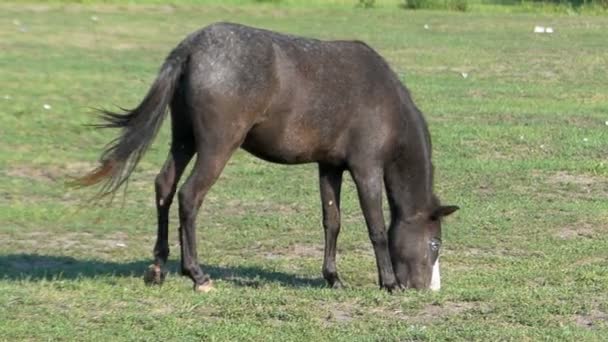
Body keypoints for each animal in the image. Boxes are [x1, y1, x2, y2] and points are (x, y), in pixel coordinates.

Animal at [73, 22, 458, 292]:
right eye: (435, 242)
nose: (426, 288)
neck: (386, 103)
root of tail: (192, 48)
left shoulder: (330, 166)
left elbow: (332, 222)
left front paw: (333, 277)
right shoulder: (366, 169)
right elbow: (376, 227)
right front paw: (388, 282)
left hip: (184, 140)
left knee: (165, 187)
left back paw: (158, 268)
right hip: (216, 147)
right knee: (189, 196)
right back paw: (197, 274)